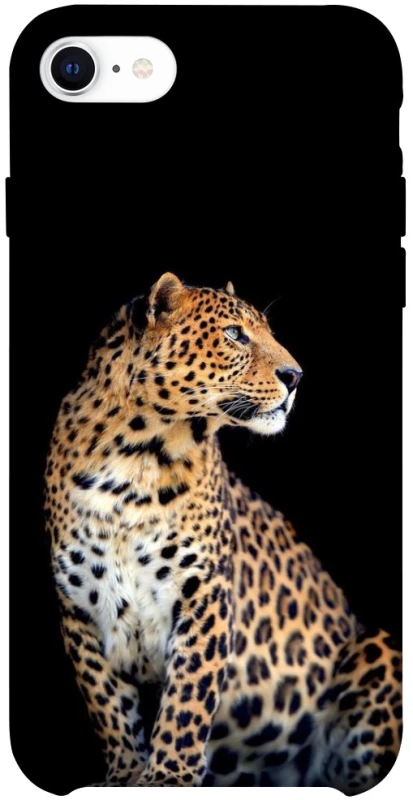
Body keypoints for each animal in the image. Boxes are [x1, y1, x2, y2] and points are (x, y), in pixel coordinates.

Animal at [44, 272, 402, 792]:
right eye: (235, 334)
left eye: (267, 332)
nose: (296, 376)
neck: (135, 458)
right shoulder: (79, 608)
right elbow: (107, 702)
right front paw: (125, 775)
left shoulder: (204, 592)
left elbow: (187, 699)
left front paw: (168, 777)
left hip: (378, 647)